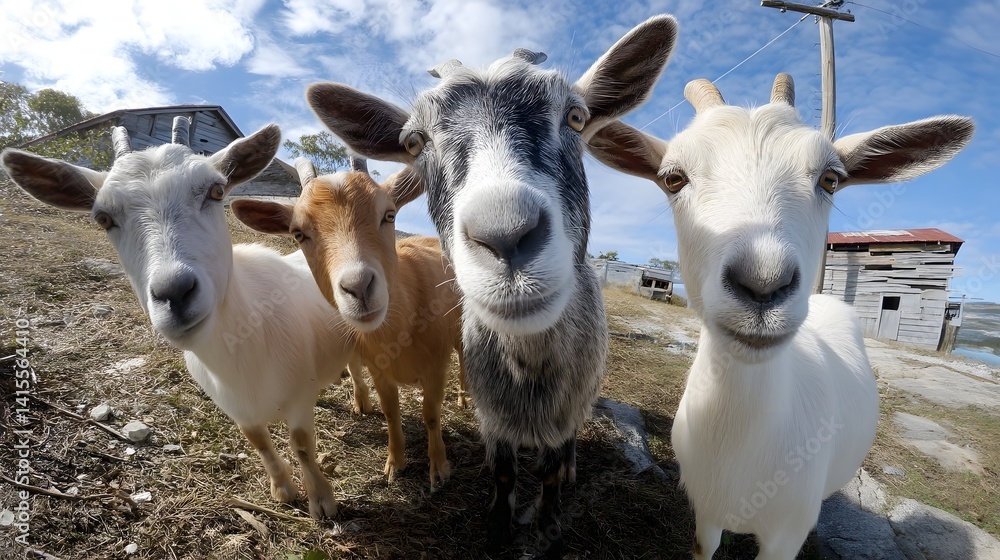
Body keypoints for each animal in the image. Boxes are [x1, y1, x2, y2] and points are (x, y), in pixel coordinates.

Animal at [0, 119, 368, 519]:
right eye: (103, 218)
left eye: (217, 190)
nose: (174, 293)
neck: (243, 345)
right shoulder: (235, 407)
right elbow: (259, 442)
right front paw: (283, 490)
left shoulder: (300, 397)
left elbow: (301, 443)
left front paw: (321, 501)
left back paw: (361, 402)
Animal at [231, 157, 465, 489]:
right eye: (298, 233)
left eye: (389, 214)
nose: (358, 287)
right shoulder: (380, 370)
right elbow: (391, 413)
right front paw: (395, 464)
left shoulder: (436, 365)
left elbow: (431, 414)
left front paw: (439, 469)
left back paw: (464, 398)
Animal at [296, 15, 679, 555]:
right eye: (414, 143)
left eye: (576, 117)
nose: (504, 235)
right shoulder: (493, 416)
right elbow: (502, 472)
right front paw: (498, 527)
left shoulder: (562, 412)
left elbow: (551, 472)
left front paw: (549, 527)